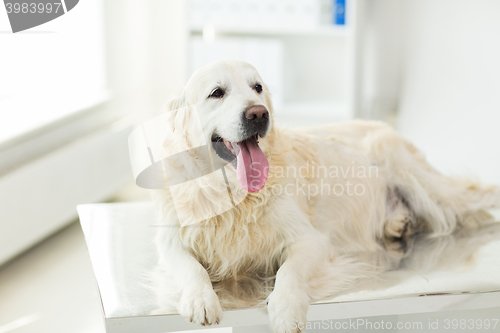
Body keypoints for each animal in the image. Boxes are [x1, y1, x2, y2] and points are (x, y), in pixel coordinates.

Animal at [150, 60, 500, 332]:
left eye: (257, 87)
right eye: (217, 93)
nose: (258, 114)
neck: (234, 195)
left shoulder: (311, 240)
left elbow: (289, 271)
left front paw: (286, 307)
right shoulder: (170, 242)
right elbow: (191, 268)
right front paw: (200, 299)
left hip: (424, 184)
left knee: (475, 199)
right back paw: (399, 223)